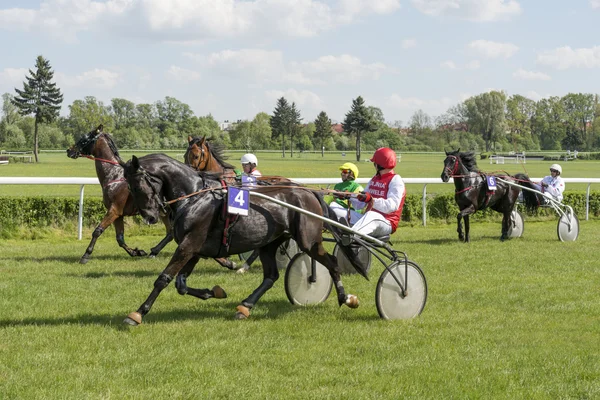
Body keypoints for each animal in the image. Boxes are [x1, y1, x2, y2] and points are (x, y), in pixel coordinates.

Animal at [119, 153, 358, 324]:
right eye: (128, 187)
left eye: (137, 185)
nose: (150, 216)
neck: (195, 196)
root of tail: (308, 192)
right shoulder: (194, 248)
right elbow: (181, 283)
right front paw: (213, 292)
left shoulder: (189, 244)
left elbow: (164, 278)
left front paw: (138, 313)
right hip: (269, 243)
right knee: (270, 276)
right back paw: (245, 306)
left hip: (308, 240)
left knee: (332, 262)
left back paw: (346, 298)